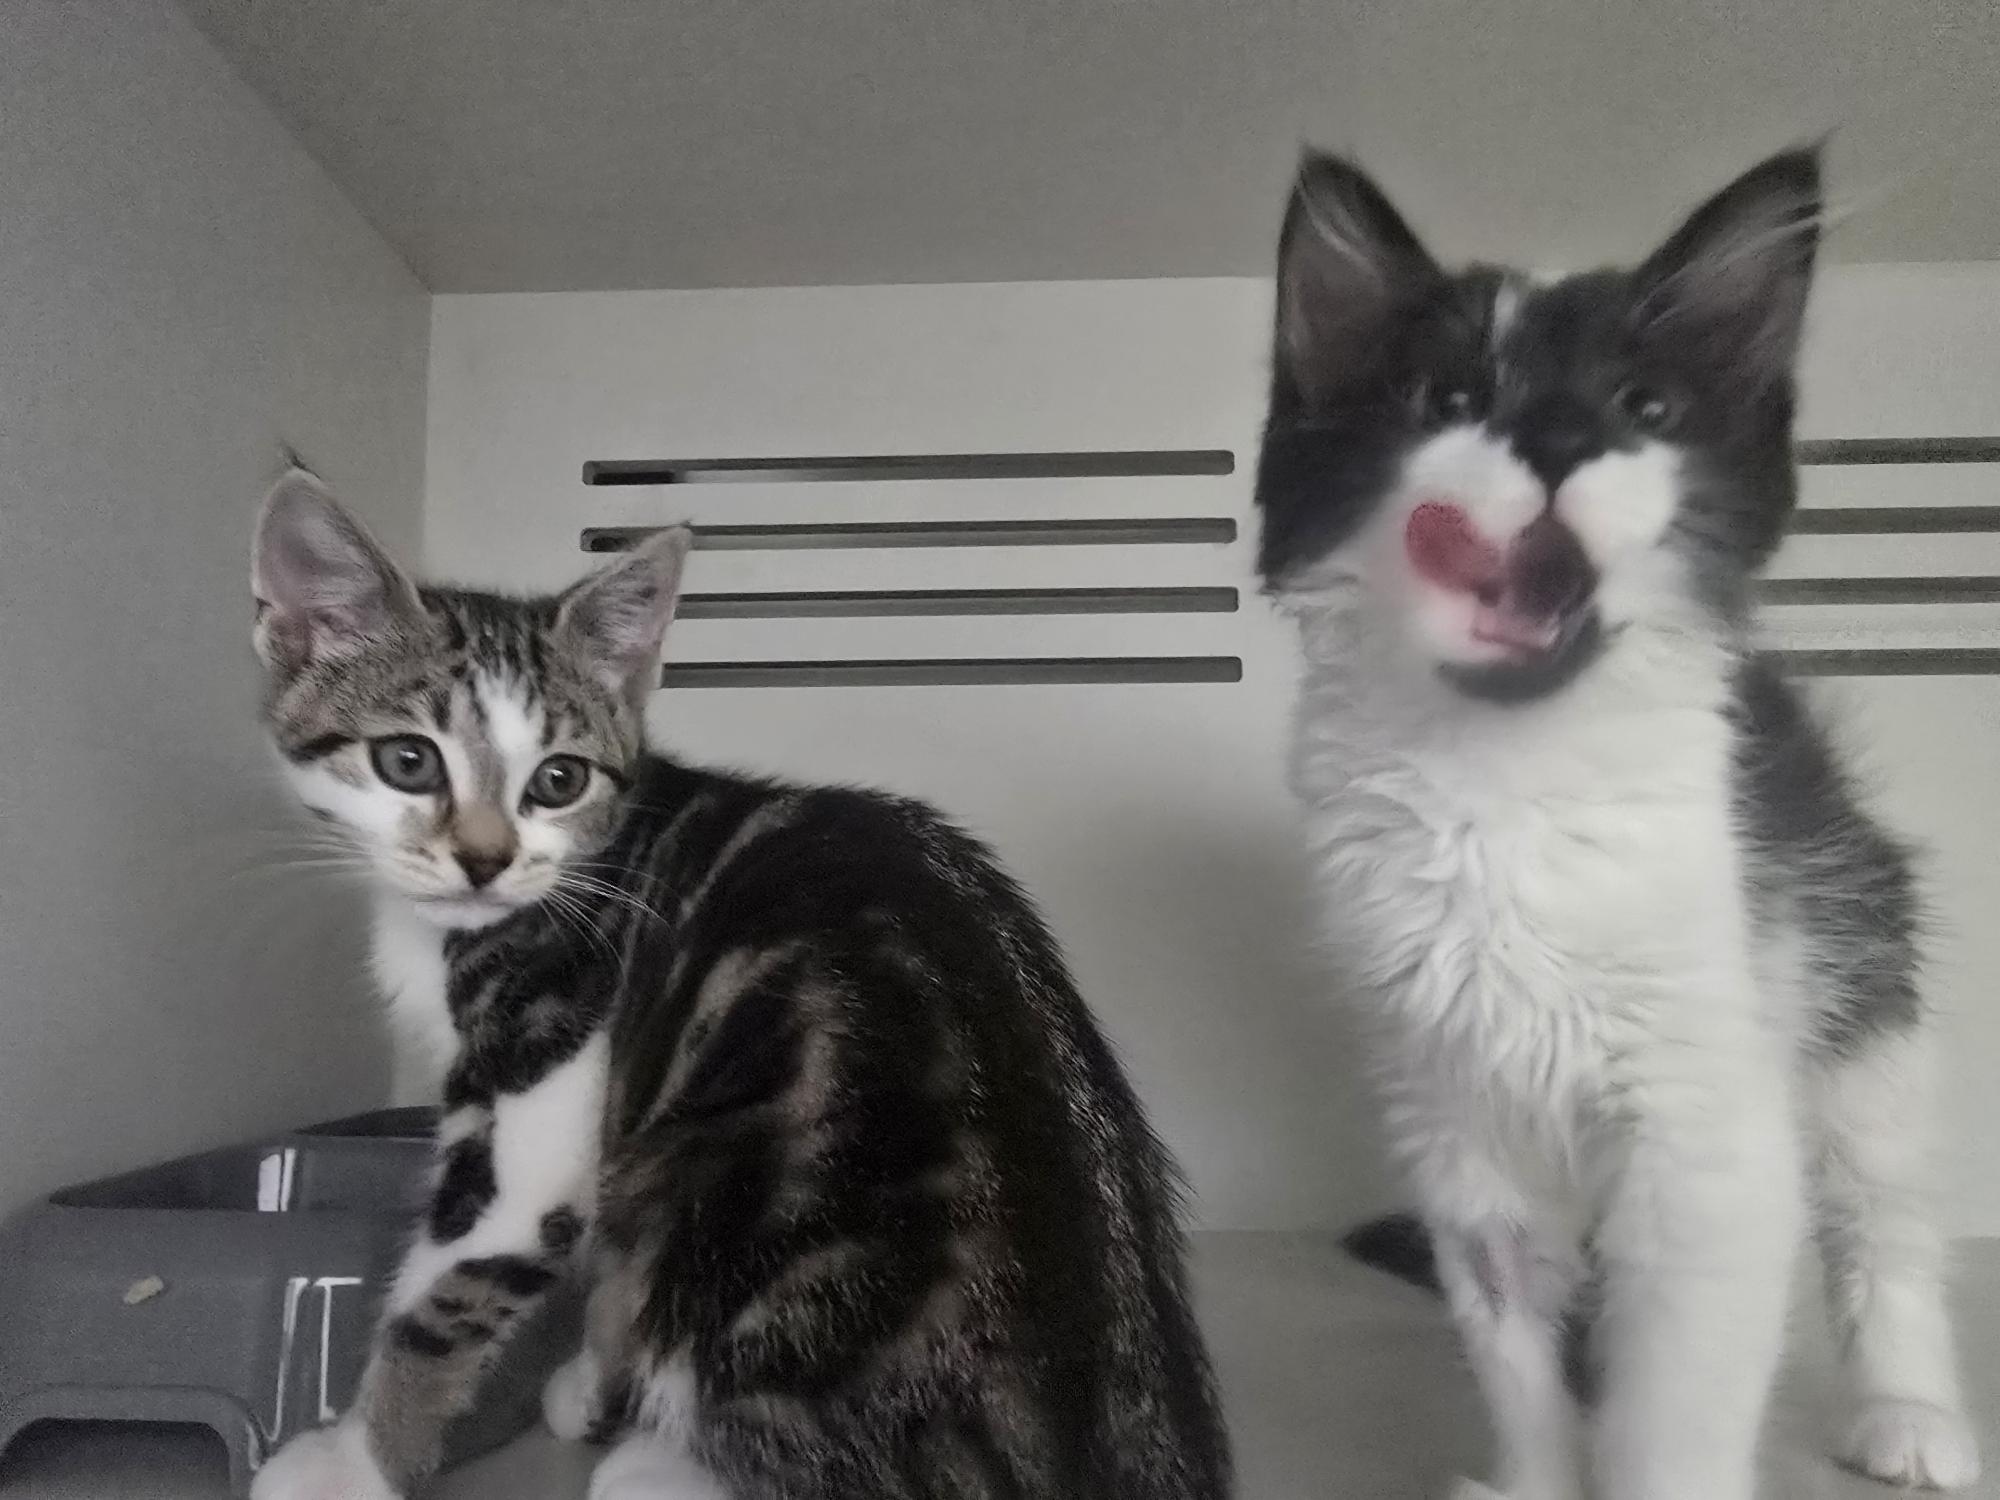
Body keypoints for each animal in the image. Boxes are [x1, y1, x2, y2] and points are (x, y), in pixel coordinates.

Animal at [245, 470, 1230, 1500]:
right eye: (407, 760)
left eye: (556, 780)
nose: (485, 860)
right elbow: (610, 1257)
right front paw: (598, 1374)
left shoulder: (544, 1074)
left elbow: (453, 1288)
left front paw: (355, 1457)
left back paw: (657, 1465)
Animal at [1254, 146, 1979, 1499]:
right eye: (1445, 394)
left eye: (1642, 409)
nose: (1554, 439)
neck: (1505, 784)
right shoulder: (1456, 1128)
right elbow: (1516, 1355)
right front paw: (1536, 1480)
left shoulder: (1707, 1142)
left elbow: (1674, 1408)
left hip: (1858, 1004)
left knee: (1881, 1218)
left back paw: (1907, 1411)